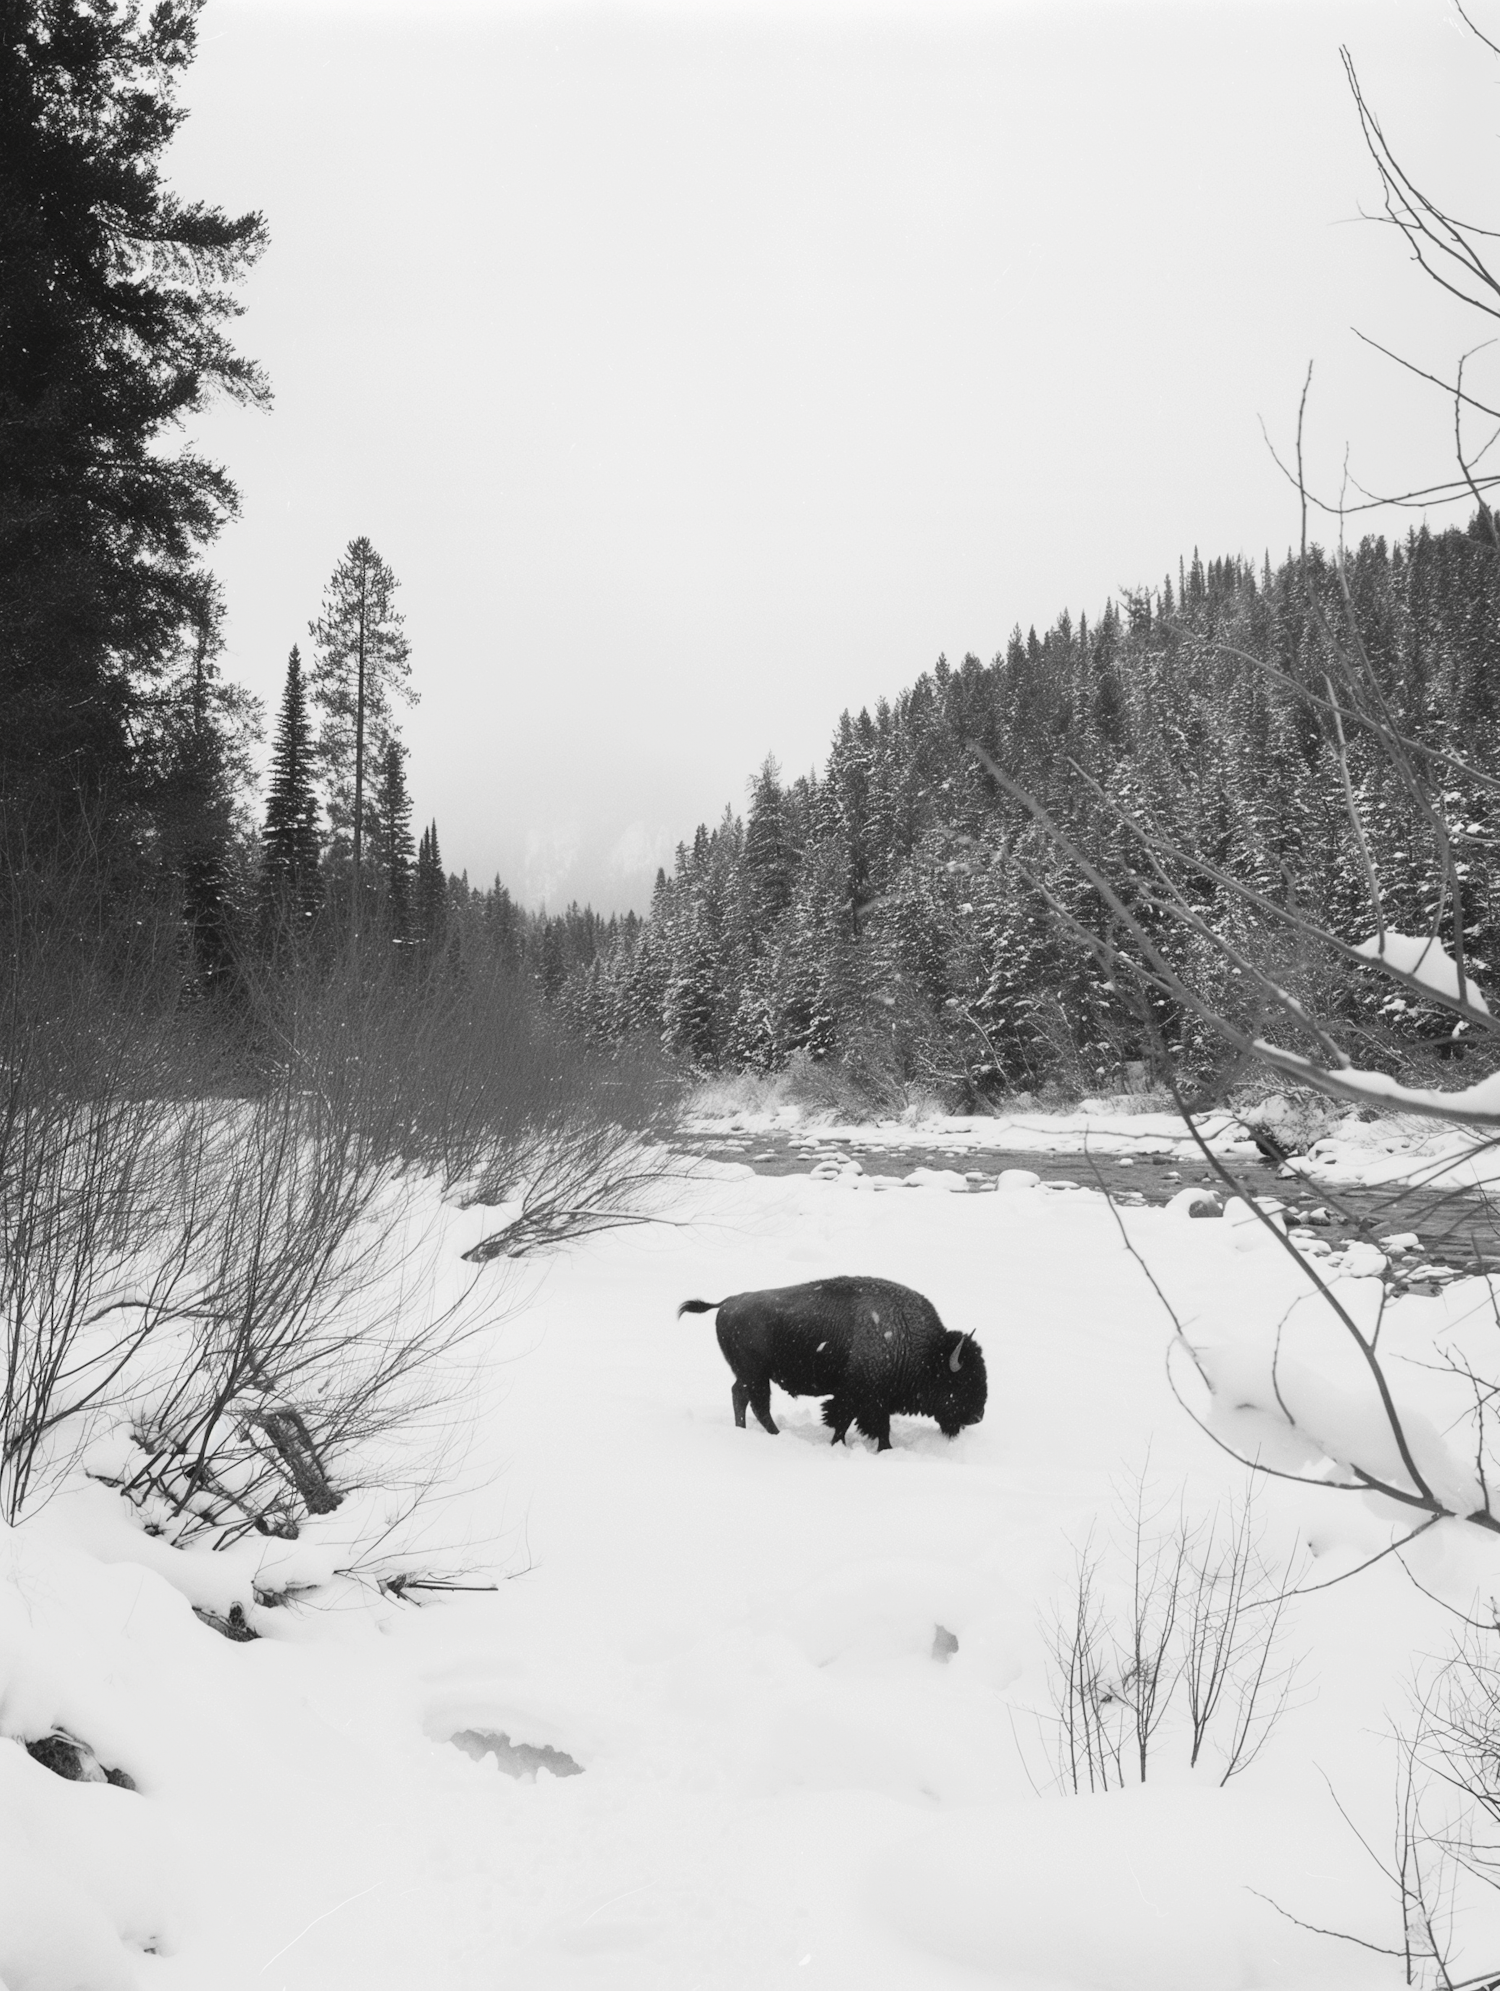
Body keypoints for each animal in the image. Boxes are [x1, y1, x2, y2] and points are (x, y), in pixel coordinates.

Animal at [677, 1274, 984, 1449]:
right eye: (961, 1381)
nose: (978, 1416)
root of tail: (727, 1302)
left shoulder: (874, 1399)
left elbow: (872, 1425)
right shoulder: (859, 1396)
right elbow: (847, 1421)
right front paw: (846, 1446)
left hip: (749, 1375)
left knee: (741, 1397)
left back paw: (747, 1432)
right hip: (755, 1375)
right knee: (757, 1404)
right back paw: (775, 1436)